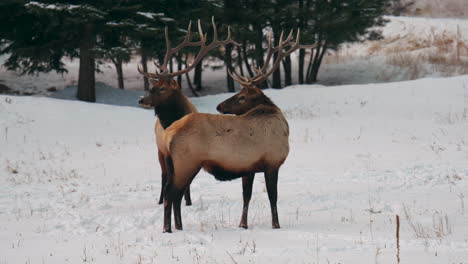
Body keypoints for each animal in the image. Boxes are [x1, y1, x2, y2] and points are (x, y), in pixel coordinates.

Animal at [135, 18, 238, 207]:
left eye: (162, 88)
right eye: (153, 86)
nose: (141, 99)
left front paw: (188, 202)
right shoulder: (167, 152)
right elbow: (169, 178)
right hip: (160, 150)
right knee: (163, 175)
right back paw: (160, 199)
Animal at [161, 28, 318, 232]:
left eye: (242, 97)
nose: (220, 106)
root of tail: (168, 134)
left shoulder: (249, 168)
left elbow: (247, 197)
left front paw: (243, 224)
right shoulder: (272, 162)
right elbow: (272, 197)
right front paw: (276, 225)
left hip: (176, 165)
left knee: (176, 196)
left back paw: (179, 227)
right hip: (186, 162)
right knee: (170, 195)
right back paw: (168, 229)